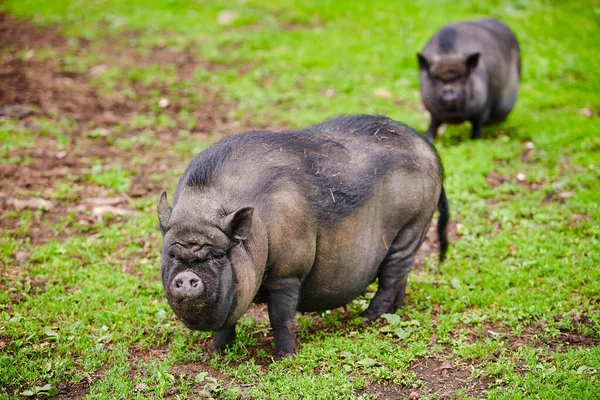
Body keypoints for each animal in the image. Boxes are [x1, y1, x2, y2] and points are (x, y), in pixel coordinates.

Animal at [157, 114, 448, 358]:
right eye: (171, 253)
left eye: (217, 254)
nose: (186, 277)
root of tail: (428, 148)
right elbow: (226, 324)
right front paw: (213, 355)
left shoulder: (288, 273)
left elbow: (280, 317)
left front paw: (285, 358)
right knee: (399, 278)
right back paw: (391, 313)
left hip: (411, 226)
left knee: (391, 277)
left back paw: (367, 319)